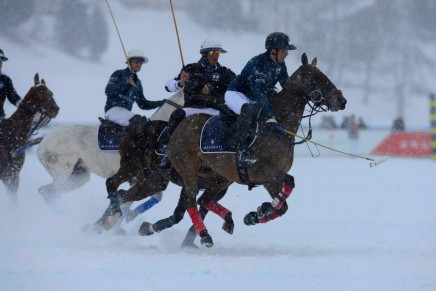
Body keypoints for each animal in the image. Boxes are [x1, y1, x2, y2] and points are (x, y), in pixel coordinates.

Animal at [141, 53, 350, 248]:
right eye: (314, 78)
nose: (342, 101)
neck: (277, 127)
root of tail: (181, 124)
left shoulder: (271, 179)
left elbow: (283, 205)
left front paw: (256, 214)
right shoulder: (263, 171)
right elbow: (290, 183)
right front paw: (263, 209)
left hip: (218, 178)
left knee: (200, 201)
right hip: (187, 169)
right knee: (191, 201)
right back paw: (204, 235)